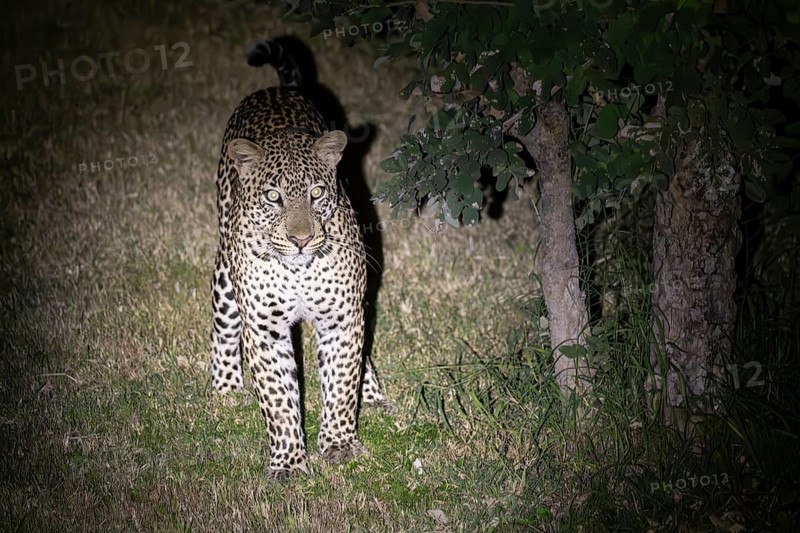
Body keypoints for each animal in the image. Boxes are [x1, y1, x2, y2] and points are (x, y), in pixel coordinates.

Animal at [209, 39, 388, 481]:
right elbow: (277, 398)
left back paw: (371, 390)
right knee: (223, 324)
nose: (302, 239)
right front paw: (289, 461)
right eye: (273, 197)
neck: (298, 270)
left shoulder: (341, 318)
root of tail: (277, 89)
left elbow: (340, 383)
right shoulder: (264, 328)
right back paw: (225, 387)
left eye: (317, 193)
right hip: (224, 271)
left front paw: (338, 444)